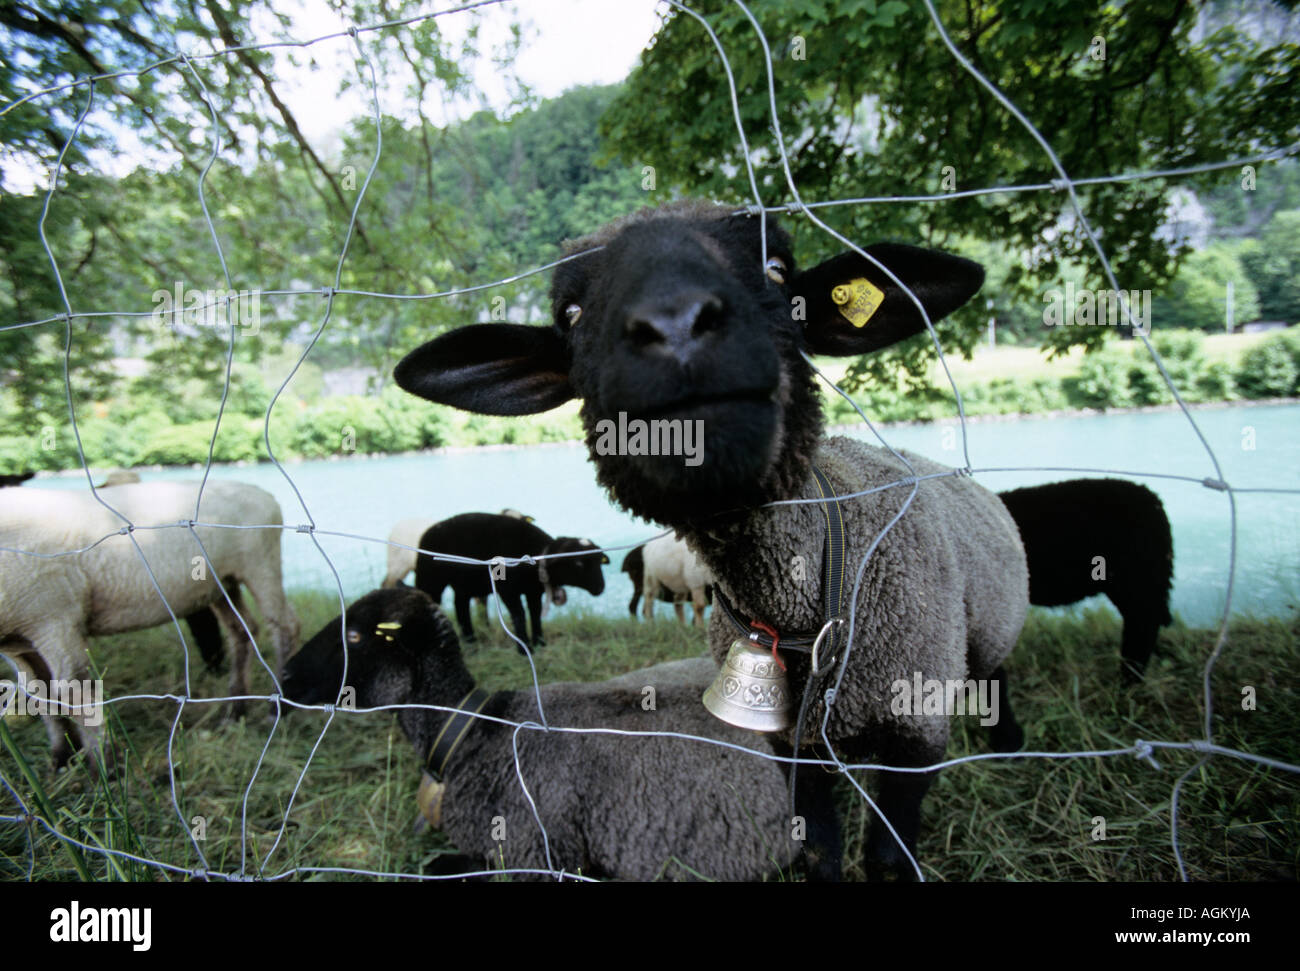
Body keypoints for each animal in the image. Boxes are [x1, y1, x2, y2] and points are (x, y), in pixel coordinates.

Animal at [0, 483, 297, 764]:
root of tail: (263, 494)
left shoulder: (54, 618)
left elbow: (74, 688)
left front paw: (105, 768)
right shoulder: (22, 640)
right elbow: (37, 692)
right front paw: (63, 758)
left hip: (259, 564)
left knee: (284, 628)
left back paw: (277, 707)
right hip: (221, 584)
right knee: (243, 631)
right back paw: (234, 710)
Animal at [416, 509, 608, 652]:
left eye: (599, 561)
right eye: (578, 563)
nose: (600, 588)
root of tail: (431, 530)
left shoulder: (533, 591)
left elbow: (535, 613)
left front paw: (540, 642)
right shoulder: (507, 590)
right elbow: (519, 615)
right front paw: (525, 649)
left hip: (464, 583)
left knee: (460, 606)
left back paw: (471, 642)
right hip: (430, 579)